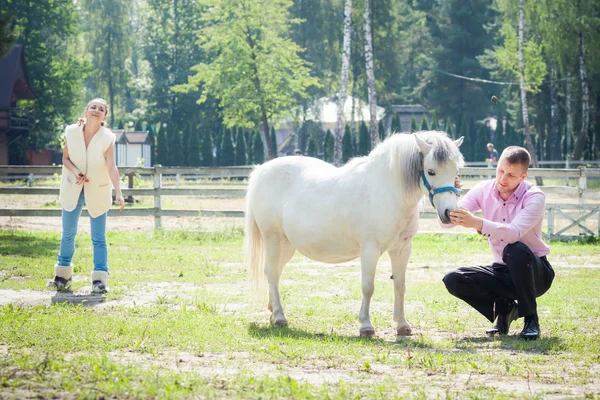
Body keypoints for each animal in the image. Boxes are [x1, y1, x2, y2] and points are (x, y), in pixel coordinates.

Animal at [244, 130, 464, 336]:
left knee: (274, 272)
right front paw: (366, 326)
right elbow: (368, 286)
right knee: (272, 272)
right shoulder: (370, 249)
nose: (449, 213)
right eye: (431, 171)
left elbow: (400, 285)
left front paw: (402, 325)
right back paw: (280, 317)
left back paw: (272, 312)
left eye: (456, 171)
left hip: (287, 245)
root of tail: (261, 170)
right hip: (273, 239)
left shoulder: (402, 249)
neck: (387, 192)